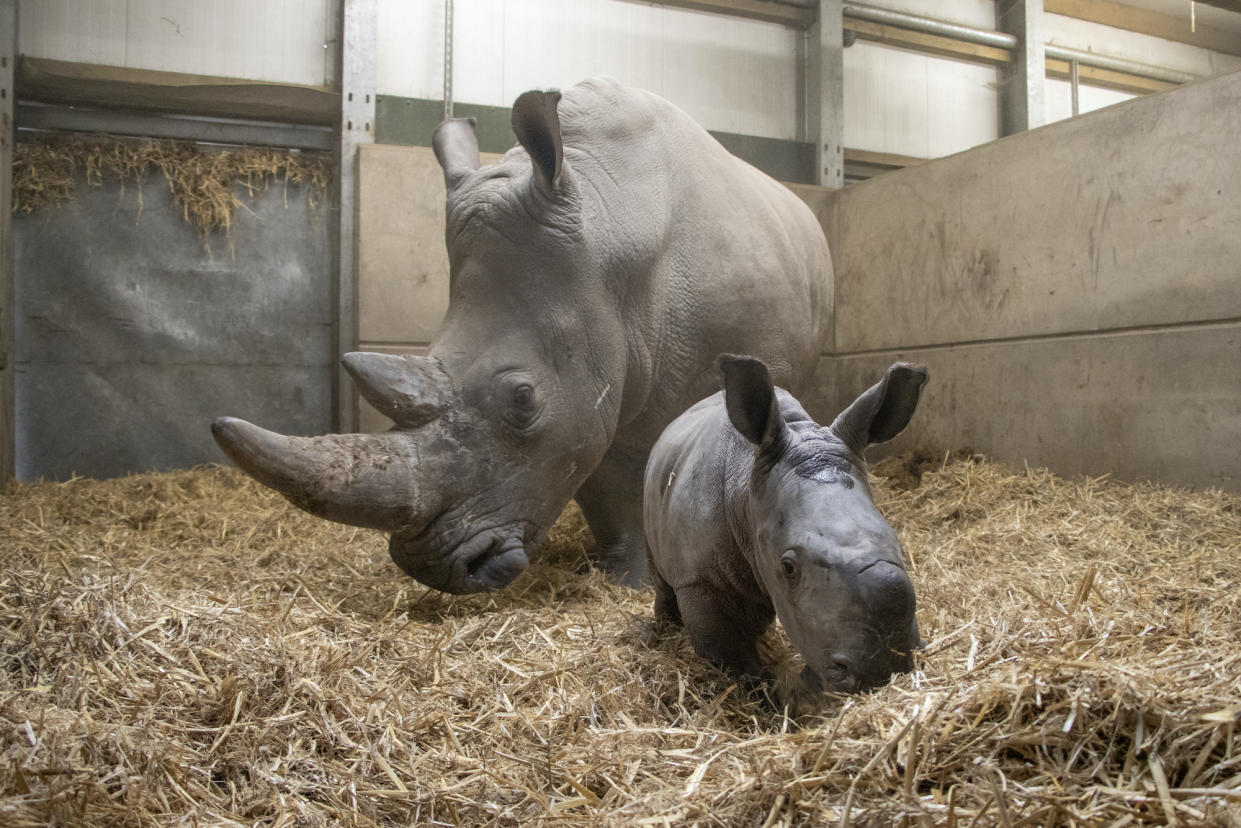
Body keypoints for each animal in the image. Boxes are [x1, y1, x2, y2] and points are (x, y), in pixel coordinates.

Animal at [645, 357, 928, 695]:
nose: (885, 667)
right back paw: (666, 627)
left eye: (898, 543)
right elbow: (734, 661)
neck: (746, 491)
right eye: (788, 566)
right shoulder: (699, 579)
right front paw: (769, 695)